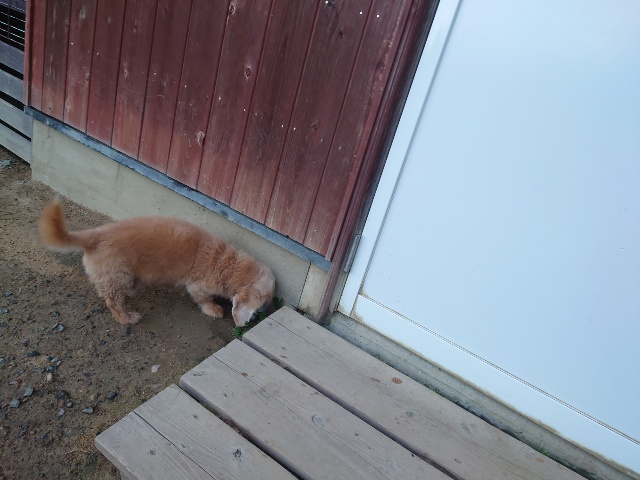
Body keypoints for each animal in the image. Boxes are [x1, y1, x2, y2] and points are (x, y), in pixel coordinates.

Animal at [38, 199, 275, 327]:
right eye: (264, 302)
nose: (266, 312)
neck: (230, 265)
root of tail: (95, 236)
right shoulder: (197, 286)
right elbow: (204, 299)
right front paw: (214, 309)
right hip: (119, 277)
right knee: (113, 301)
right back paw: (127, 318)